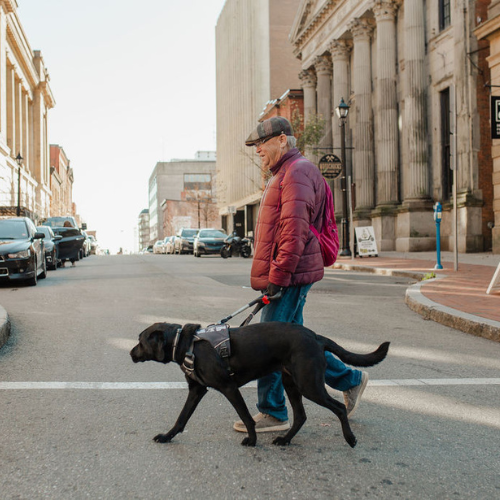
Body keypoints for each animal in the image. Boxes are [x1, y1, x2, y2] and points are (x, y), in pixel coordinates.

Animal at [131, 322, 388, 448]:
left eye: (140, 341)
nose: (131, 354)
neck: (185, 343)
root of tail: (315, 336)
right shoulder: (196, 390)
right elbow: (181, 418)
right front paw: (167, 436)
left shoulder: (229, 388)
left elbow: (245, 417)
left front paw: (252, 441)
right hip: (291, 383)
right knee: (301, 415)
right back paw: (285, 440)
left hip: (308, 384)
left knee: (339, 408)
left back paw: (350, 438)